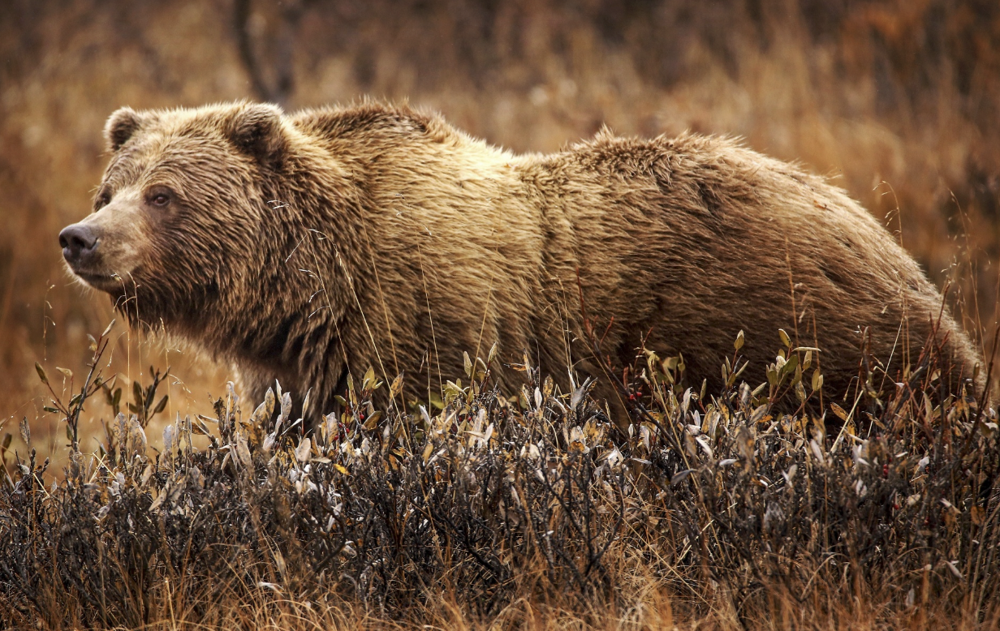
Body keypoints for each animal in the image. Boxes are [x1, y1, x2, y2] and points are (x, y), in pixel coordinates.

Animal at [60, 101, 984, 422]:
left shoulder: (424, 331)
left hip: (803, 340)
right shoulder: (305, 368)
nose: (80, 237)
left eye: (164, 194)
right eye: (112, 185)